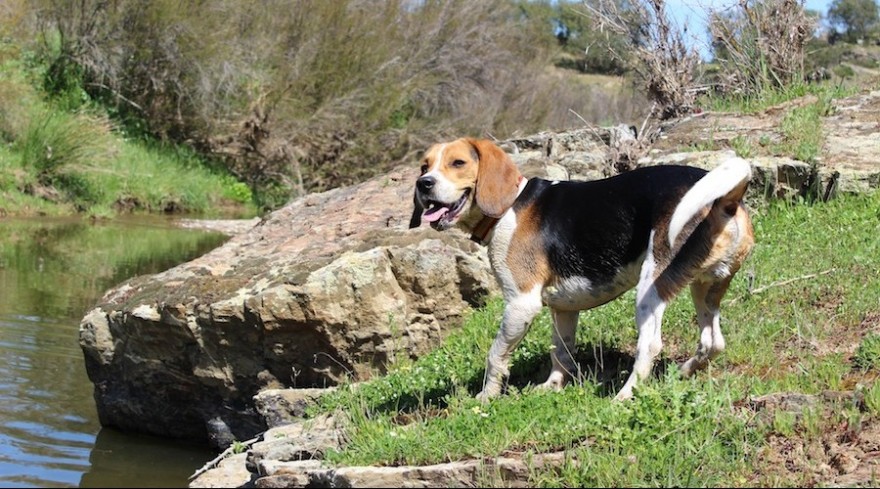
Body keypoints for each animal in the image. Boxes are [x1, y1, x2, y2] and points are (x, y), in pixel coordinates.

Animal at [410, 136, 752, 400]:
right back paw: (685, 371)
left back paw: (624, 396)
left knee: (650, 346)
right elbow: (560, 350)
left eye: (457, 163)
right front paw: (552, 386)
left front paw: (486, 396)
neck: (509, 209)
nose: (423, 184)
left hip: (652, 286)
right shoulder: (564, 308)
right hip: (705, 286)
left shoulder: (521, 303)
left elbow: (495, 355)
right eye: (425, 166)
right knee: (713, 342)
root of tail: (726, 199)